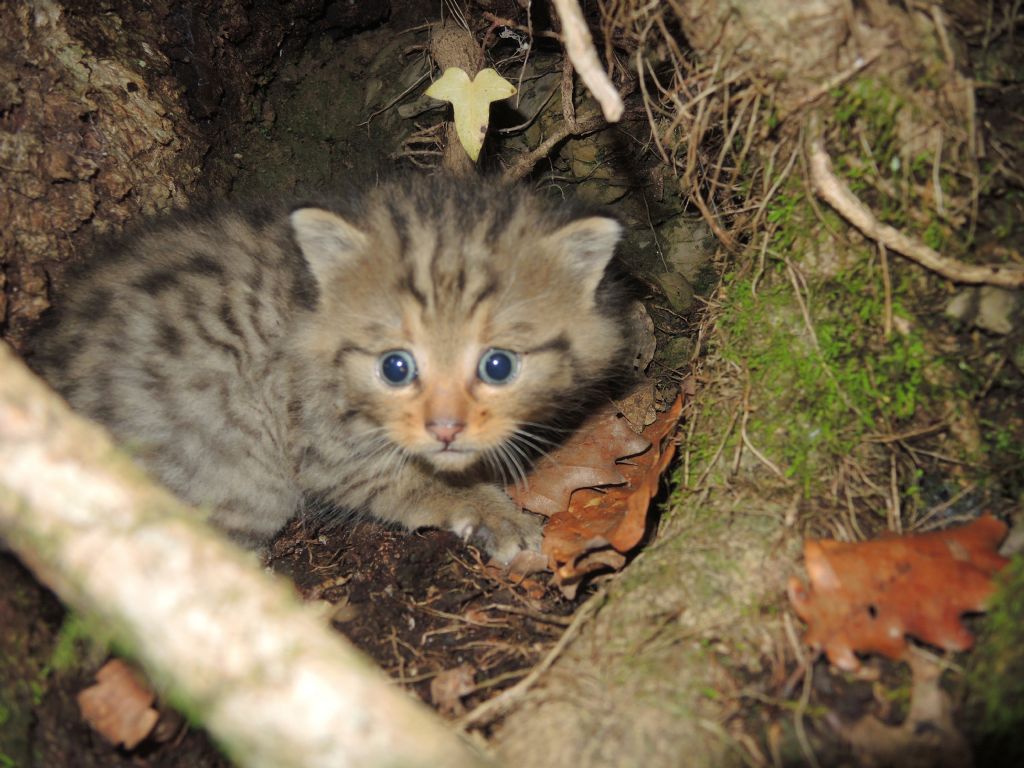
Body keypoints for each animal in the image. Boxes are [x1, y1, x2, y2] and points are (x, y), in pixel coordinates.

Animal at [32, 179, 630, 565]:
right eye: (395, 367)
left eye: (498, 364)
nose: (445, 428)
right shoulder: (327, 452)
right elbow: (417, 483)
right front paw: (497, 516)